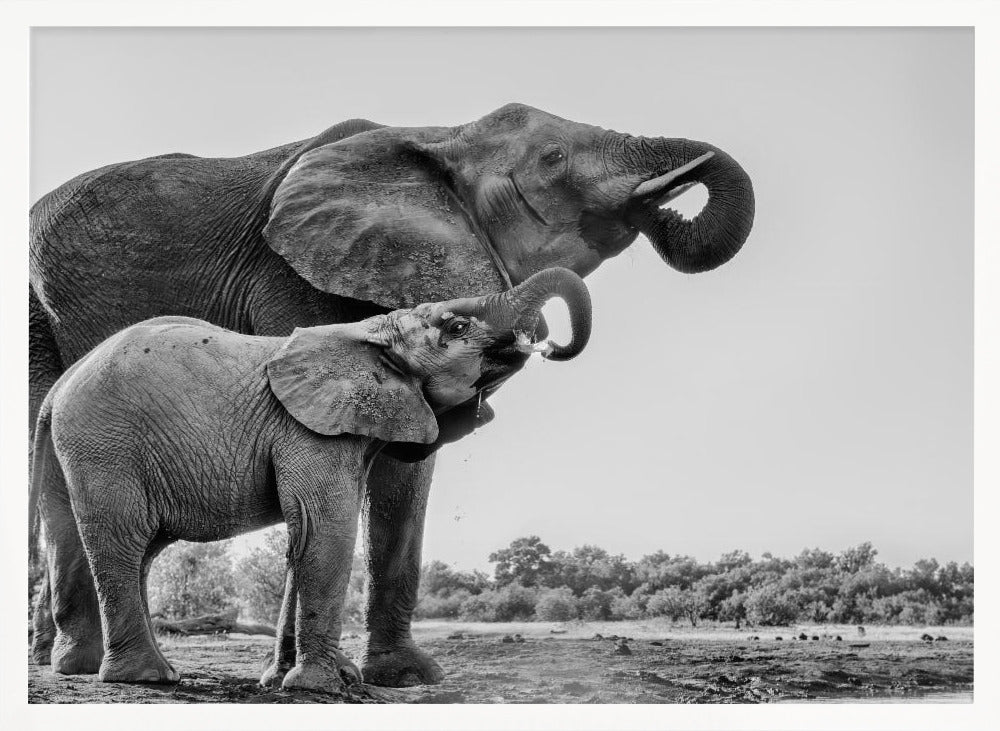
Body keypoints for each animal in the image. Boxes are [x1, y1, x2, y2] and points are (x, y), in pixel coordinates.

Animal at [29, 267, 591, 689]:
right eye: (453, 327)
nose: (550, 345)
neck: (369, 332)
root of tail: (59, 387)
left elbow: (304, 540)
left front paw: (286, 681)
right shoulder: (308, 428)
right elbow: (326, 531)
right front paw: (321, 687)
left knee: (104, 544)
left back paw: (86, 669)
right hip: (105, 444)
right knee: (123, 541)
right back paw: (148, 677)